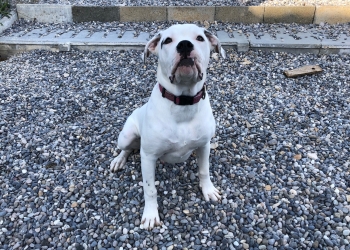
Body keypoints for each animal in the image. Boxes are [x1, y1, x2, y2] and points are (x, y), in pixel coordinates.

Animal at [110, 24, 226, 229]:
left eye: (200, 38)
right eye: (167, 41)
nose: (185, 45)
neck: (183, 102)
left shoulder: (204, 145)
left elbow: (204, 171)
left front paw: (208, 190)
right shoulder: (148, 157)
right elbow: (150, 189)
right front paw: (150, 215)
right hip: (126, 136)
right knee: (126, 148)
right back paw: (119, 160)